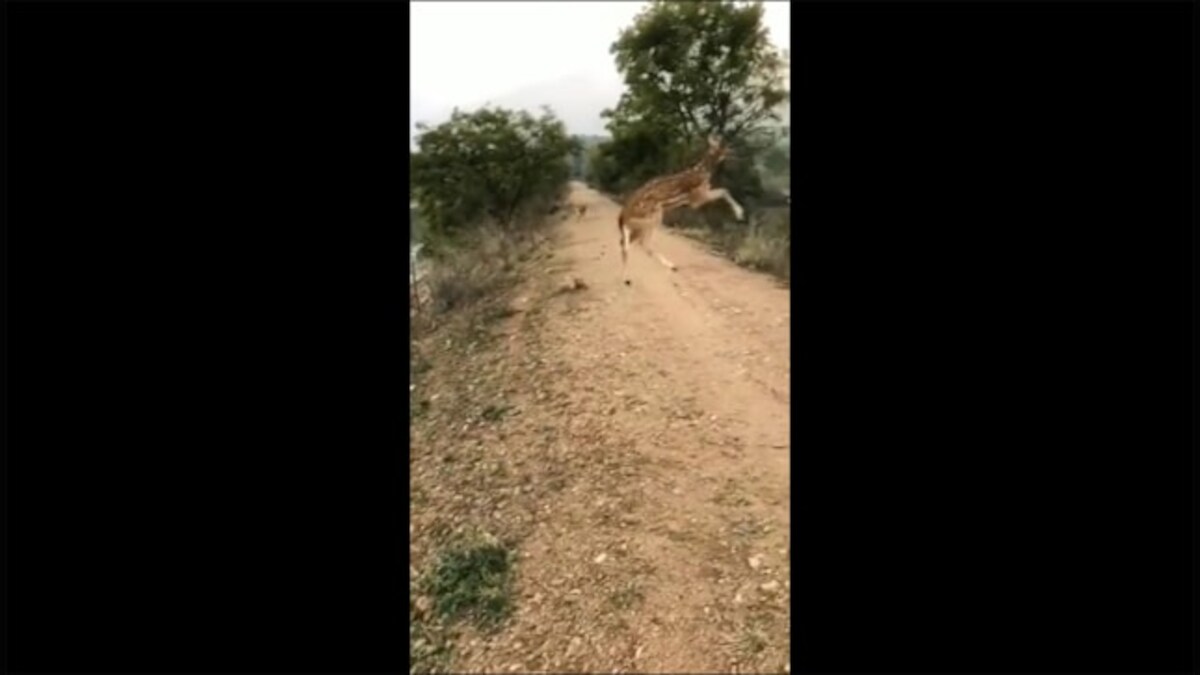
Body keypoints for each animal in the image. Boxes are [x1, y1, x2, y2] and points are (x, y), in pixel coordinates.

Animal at [619, 136, 739, 283]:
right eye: (725, 147)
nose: (734, 152)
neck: (703, 172)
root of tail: (623, 216)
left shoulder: (700, 196)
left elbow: (724, 190)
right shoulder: (697, 199)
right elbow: (724, 190)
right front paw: (740, 213)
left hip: (639, 224)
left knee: (625, 243)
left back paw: (626, 277)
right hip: (653, 217)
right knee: (642, 243)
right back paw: (671, 266)